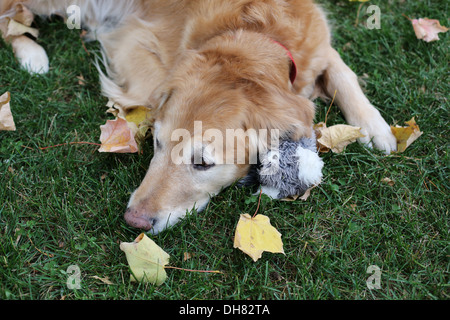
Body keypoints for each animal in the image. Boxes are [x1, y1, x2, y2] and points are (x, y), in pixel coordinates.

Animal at [0, 1, 396, 234]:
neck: (256, 34)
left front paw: (375, 127)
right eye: (157, 143)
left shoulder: (318, 47)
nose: (134, 221)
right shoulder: (133, 38)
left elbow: (343, 72)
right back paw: (32, 54)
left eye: (203, 163)